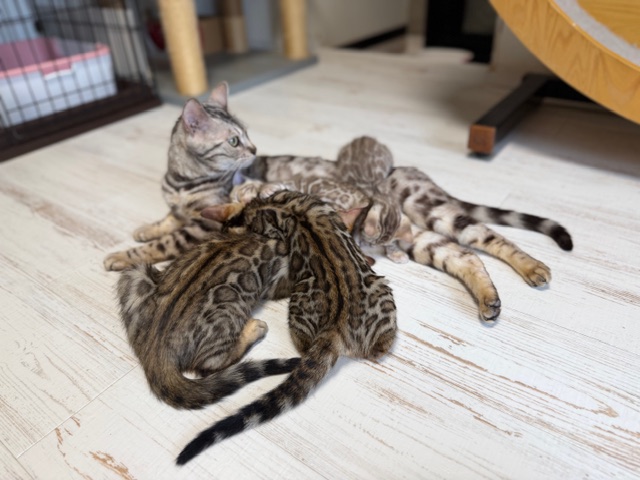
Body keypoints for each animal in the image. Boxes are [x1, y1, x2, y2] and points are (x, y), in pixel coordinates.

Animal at [116, 229, 300, 410]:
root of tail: (155, 352)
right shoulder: (280, 278)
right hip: (229, 308)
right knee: (210, 363)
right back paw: (253, 330)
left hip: (135, 274)